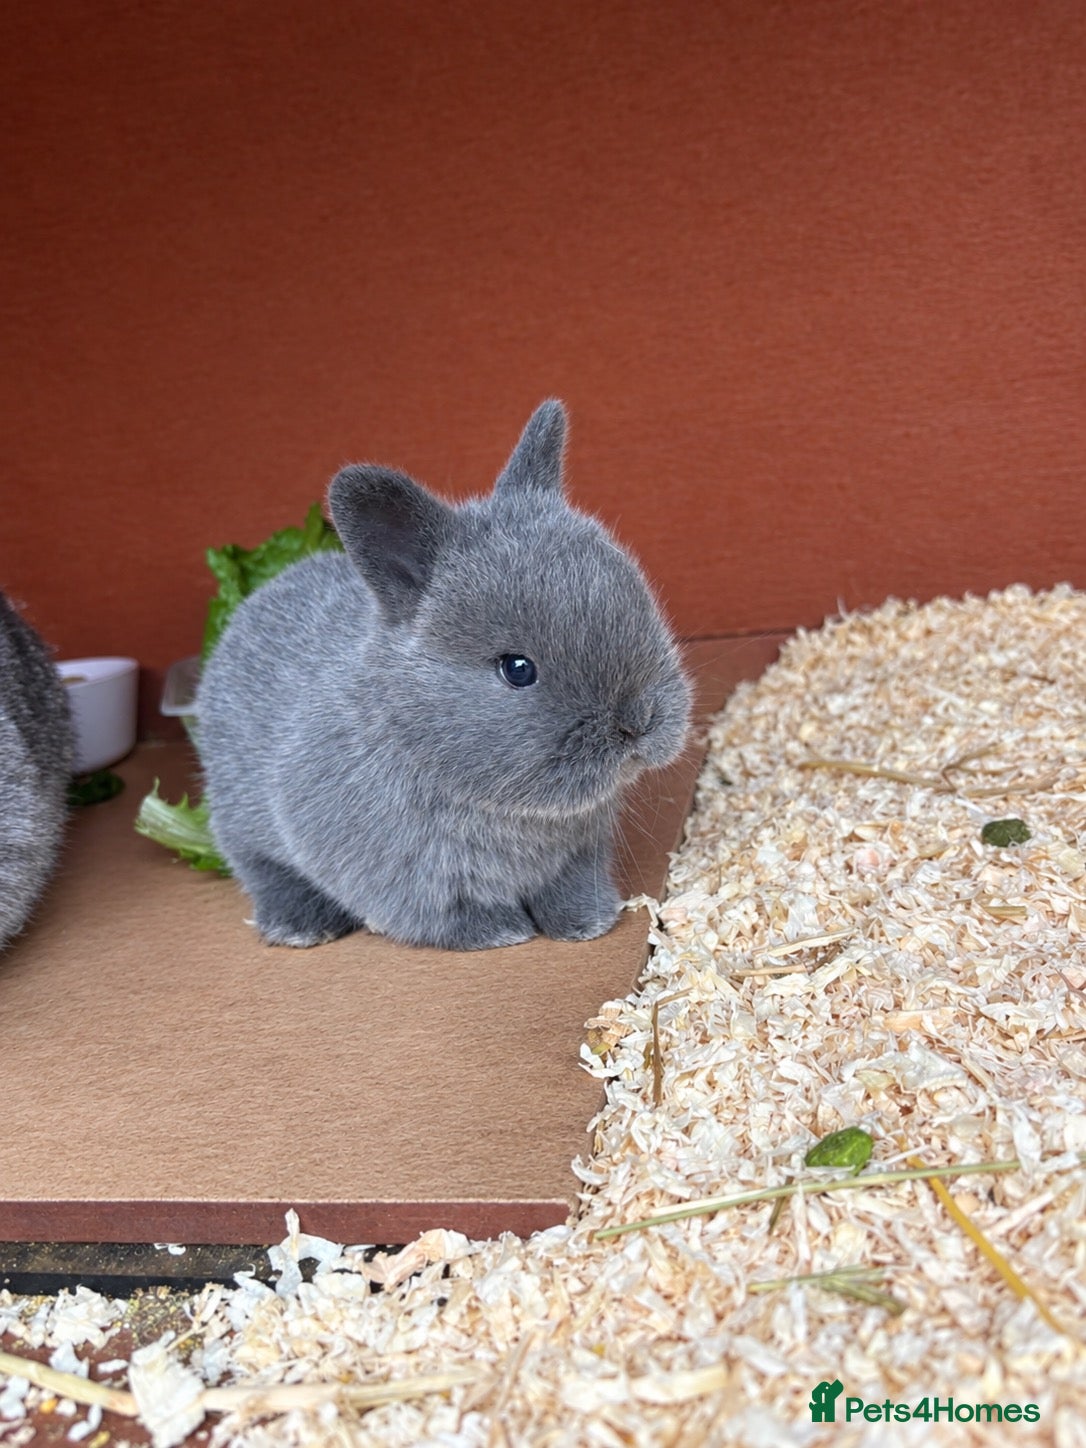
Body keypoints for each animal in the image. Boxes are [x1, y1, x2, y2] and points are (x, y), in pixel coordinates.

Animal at [196, 401, 691, 950]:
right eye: (518, 670)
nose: (639, 723)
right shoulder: (409, 879)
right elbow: (443, 913)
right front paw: (499, 933)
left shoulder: (579, 855)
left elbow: (570, 888)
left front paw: (588, 922)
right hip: (241, 820)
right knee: (260, 868)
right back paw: (300, 927)